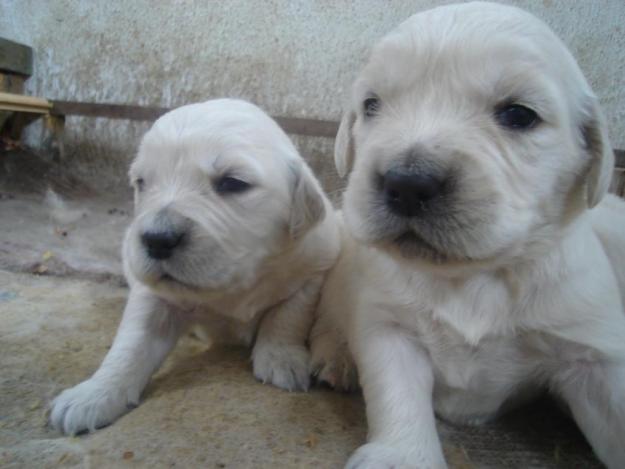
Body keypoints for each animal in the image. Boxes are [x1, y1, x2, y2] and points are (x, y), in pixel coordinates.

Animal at [50, 98, 338, 436]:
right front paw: (94, 394)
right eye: (141, 183)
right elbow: (131, 344)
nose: (157, 240)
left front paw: (281, 358)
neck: (239, 280)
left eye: (232, 183)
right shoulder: (155, 296)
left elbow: (287, 315)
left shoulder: (313, 269)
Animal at [312, 3, 624, 468]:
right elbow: (398, 394)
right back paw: (334, 355)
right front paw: (405, 455)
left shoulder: (593, 354)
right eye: (371, 106)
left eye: (519, 114)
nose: (406, 184)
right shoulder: (388, 326)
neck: (472, 276)